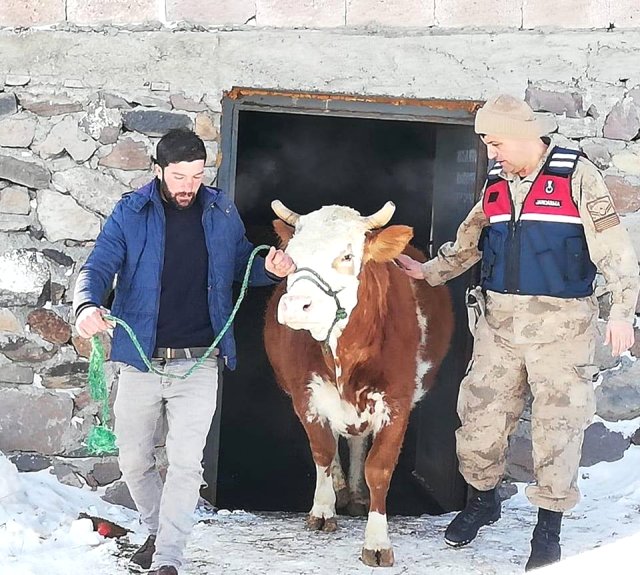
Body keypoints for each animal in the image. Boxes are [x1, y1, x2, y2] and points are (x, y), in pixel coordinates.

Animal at [262, 199, 452, 568]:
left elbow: (377, 468)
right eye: (291, 255)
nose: (295, 306)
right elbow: (322, 451)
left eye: (347, 256)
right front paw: (322, 510)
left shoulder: (397, 403)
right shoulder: (306, 396)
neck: (346, 355)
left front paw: (377, 542)